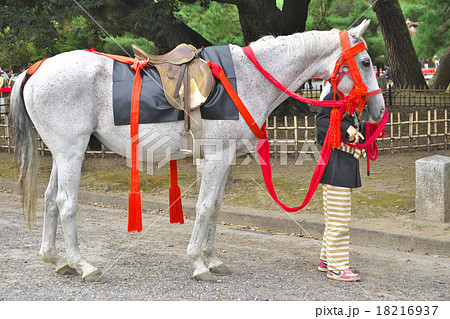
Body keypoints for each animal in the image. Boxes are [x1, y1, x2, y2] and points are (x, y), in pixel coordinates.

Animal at [9, 19, 384, 282]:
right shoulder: (217, 156)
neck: (245, 79)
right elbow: (203, 209)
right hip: (71, 151)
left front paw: (212, 259)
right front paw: (198, 264)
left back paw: (57, 260)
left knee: (49, 198)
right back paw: (82, 264)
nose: (379, 111)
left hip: (62, 154)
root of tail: (35, 68)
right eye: (366, 62)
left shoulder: (222, 158)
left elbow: (215, 207)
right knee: (66, 202)